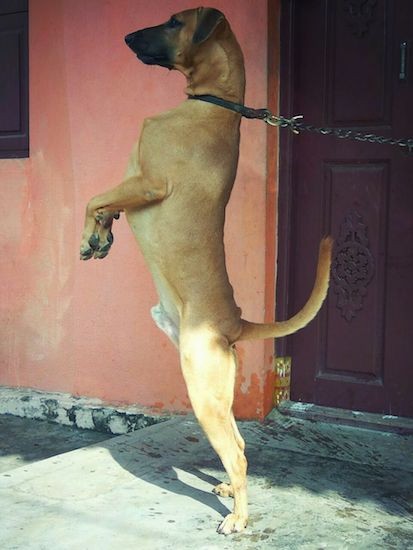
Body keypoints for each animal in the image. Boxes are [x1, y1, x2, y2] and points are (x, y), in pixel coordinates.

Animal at [79, 7, 332, 536]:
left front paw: (91, 233)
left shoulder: (147, 183)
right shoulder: (131, 182)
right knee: (240, 443)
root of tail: (234, 322)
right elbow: (103, 206)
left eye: (175, 21)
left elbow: (93, 197)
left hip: (202, 388)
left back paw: (238, 517)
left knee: (237, 452)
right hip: (217, 392)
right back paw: (229, 492)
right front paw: (98, 238)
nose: (127, 37)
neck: (213, 105)